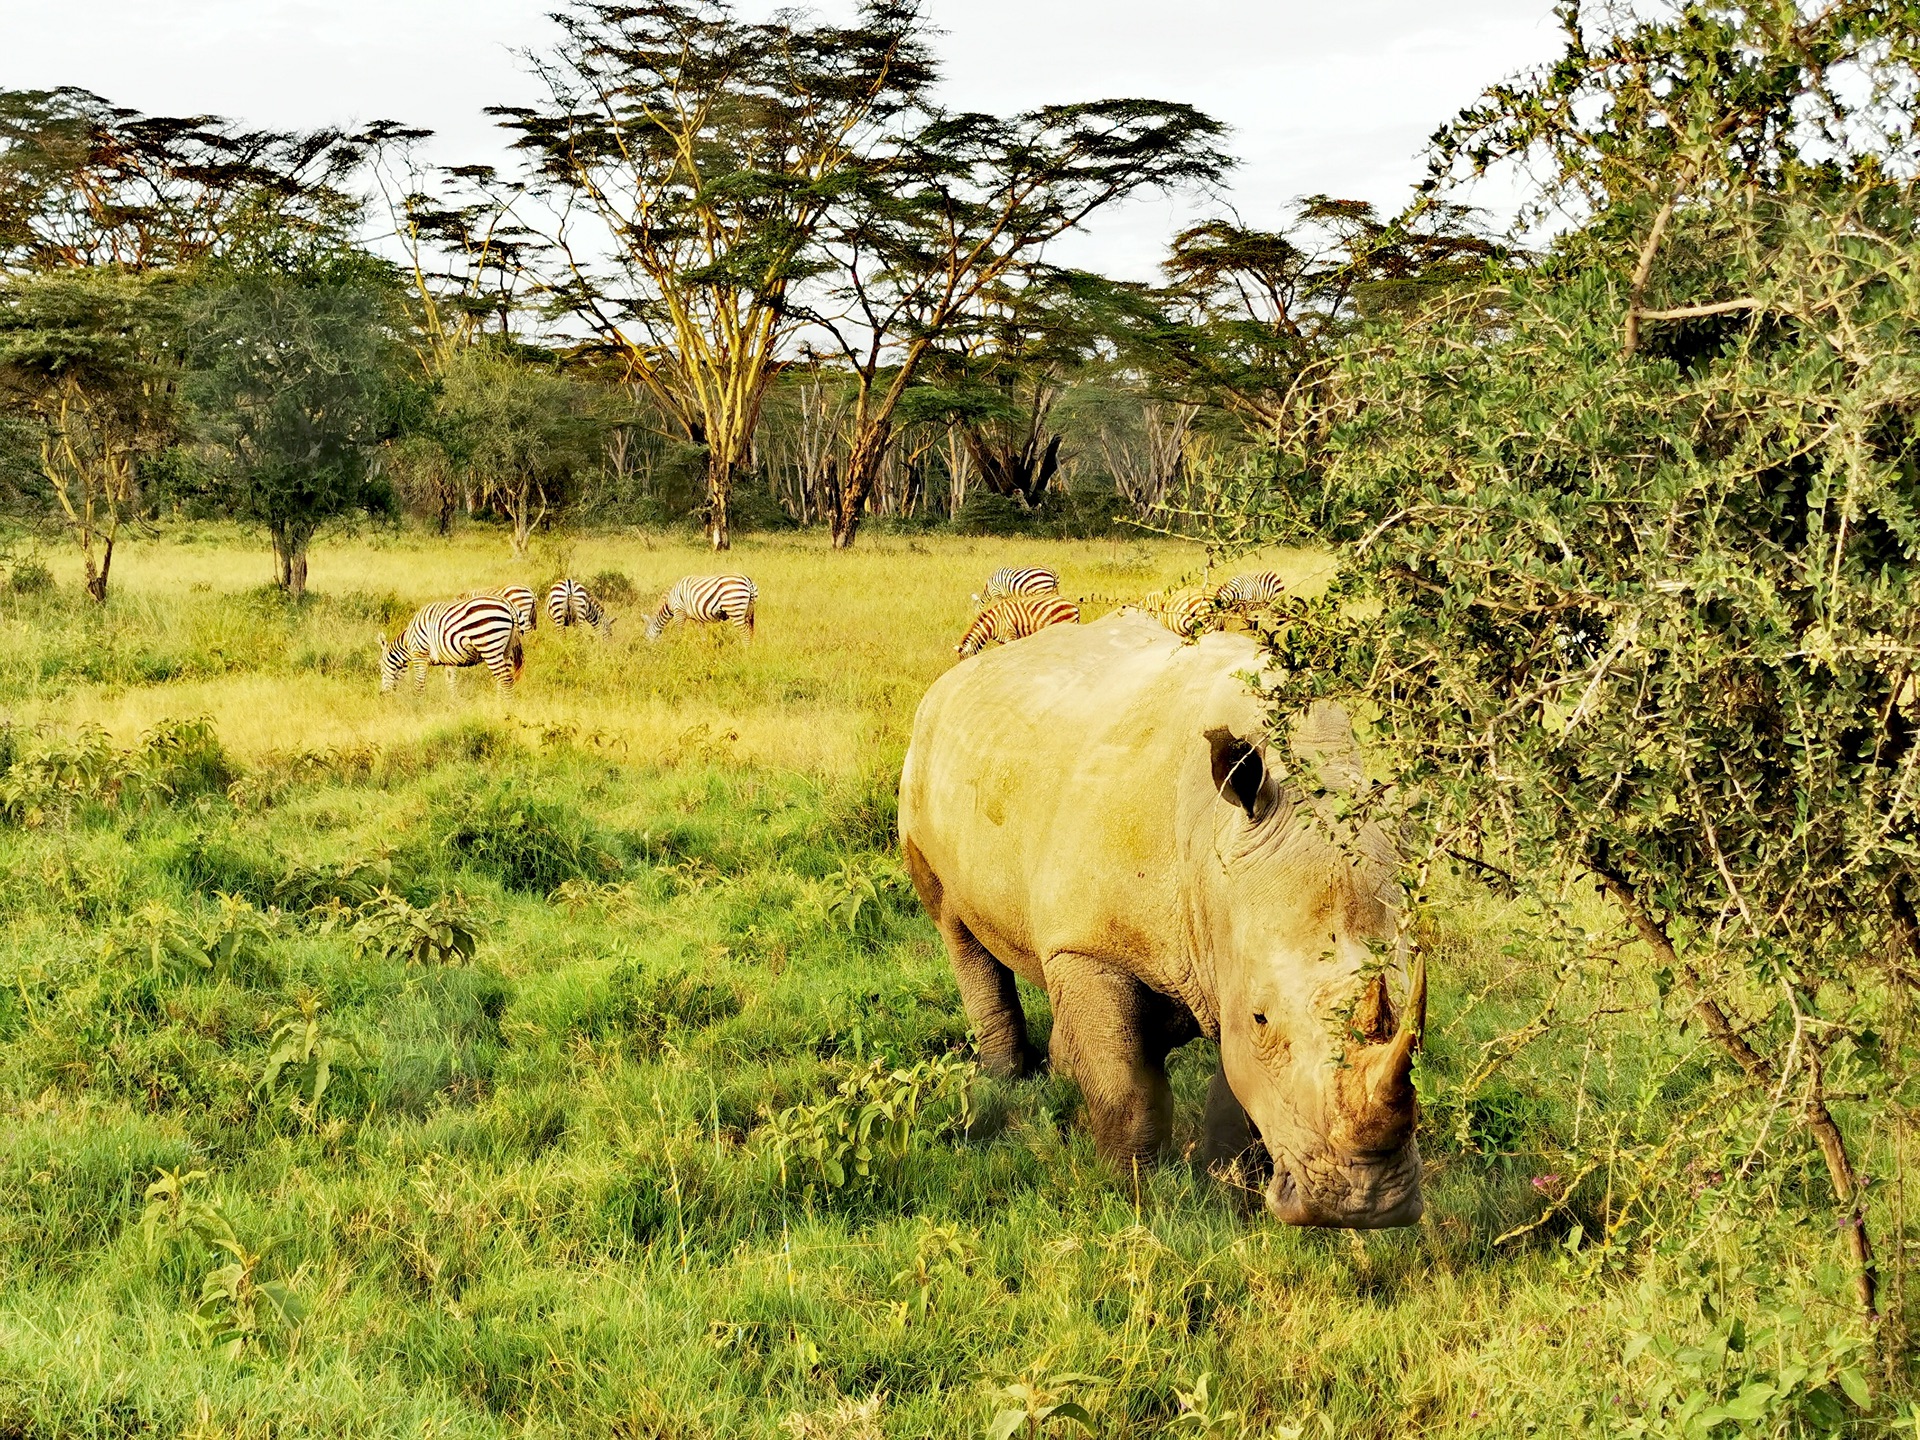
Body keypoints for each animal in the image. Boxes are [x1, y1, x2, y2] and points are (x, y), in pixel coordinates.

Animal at [380, 591, 526, 695]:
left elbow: (419, 686)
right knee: (506, 678)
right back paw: (499, 703)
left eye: (380, 666)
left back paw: (504, 707)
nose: (382, 694)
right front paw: (454, 706)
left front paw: (417, 706)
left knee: (505, 679)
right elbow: (451, 685)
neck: (408, 642)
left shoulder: (419, 655)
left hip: (490, 646)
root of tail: (507, 604)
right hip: (507, 649)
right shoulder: (449, 661)